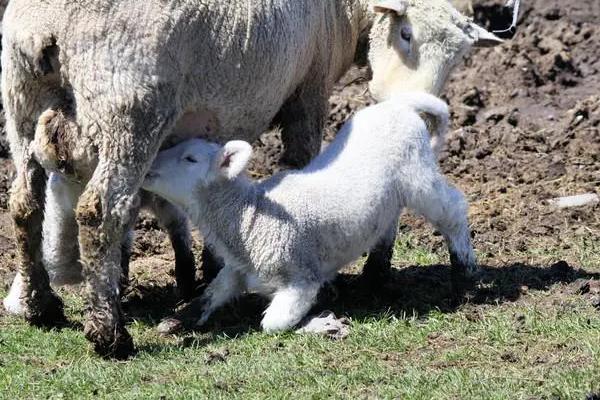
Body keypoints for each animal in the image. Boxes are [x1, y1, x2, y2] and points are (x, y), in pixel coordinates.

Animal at [142, 93, 478, 332]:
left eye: (190, 158)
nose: (149, 164)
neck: (250, 217)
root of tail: (398, 106)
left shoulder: (301, 278)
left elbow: (272, 324)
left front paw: (320, 321)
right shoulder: (237, 269)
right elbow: (211, 293)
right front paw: (179, 319)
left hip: (418, 174)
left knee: (453, 210)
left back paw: (465, 274)